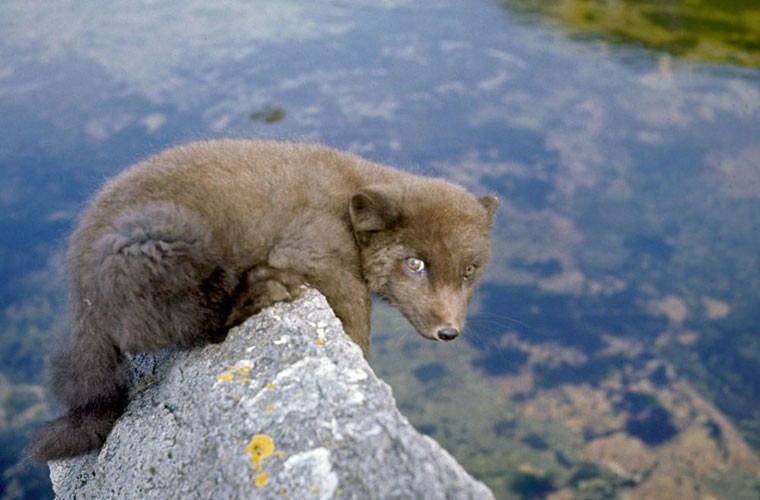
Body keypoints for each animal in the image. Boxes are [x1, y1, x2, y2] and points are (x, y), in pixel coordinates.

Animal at [26, 140, 498, 460]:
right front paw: (361, 362)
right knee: (193, 327)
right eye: (415, 264)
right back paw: (263, 289)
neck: (346, 198)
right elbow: (356, 313)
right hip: (164, 239)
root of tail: (80, 298)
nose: (448, 331)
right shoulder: (310, 250)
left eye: (470, 270)